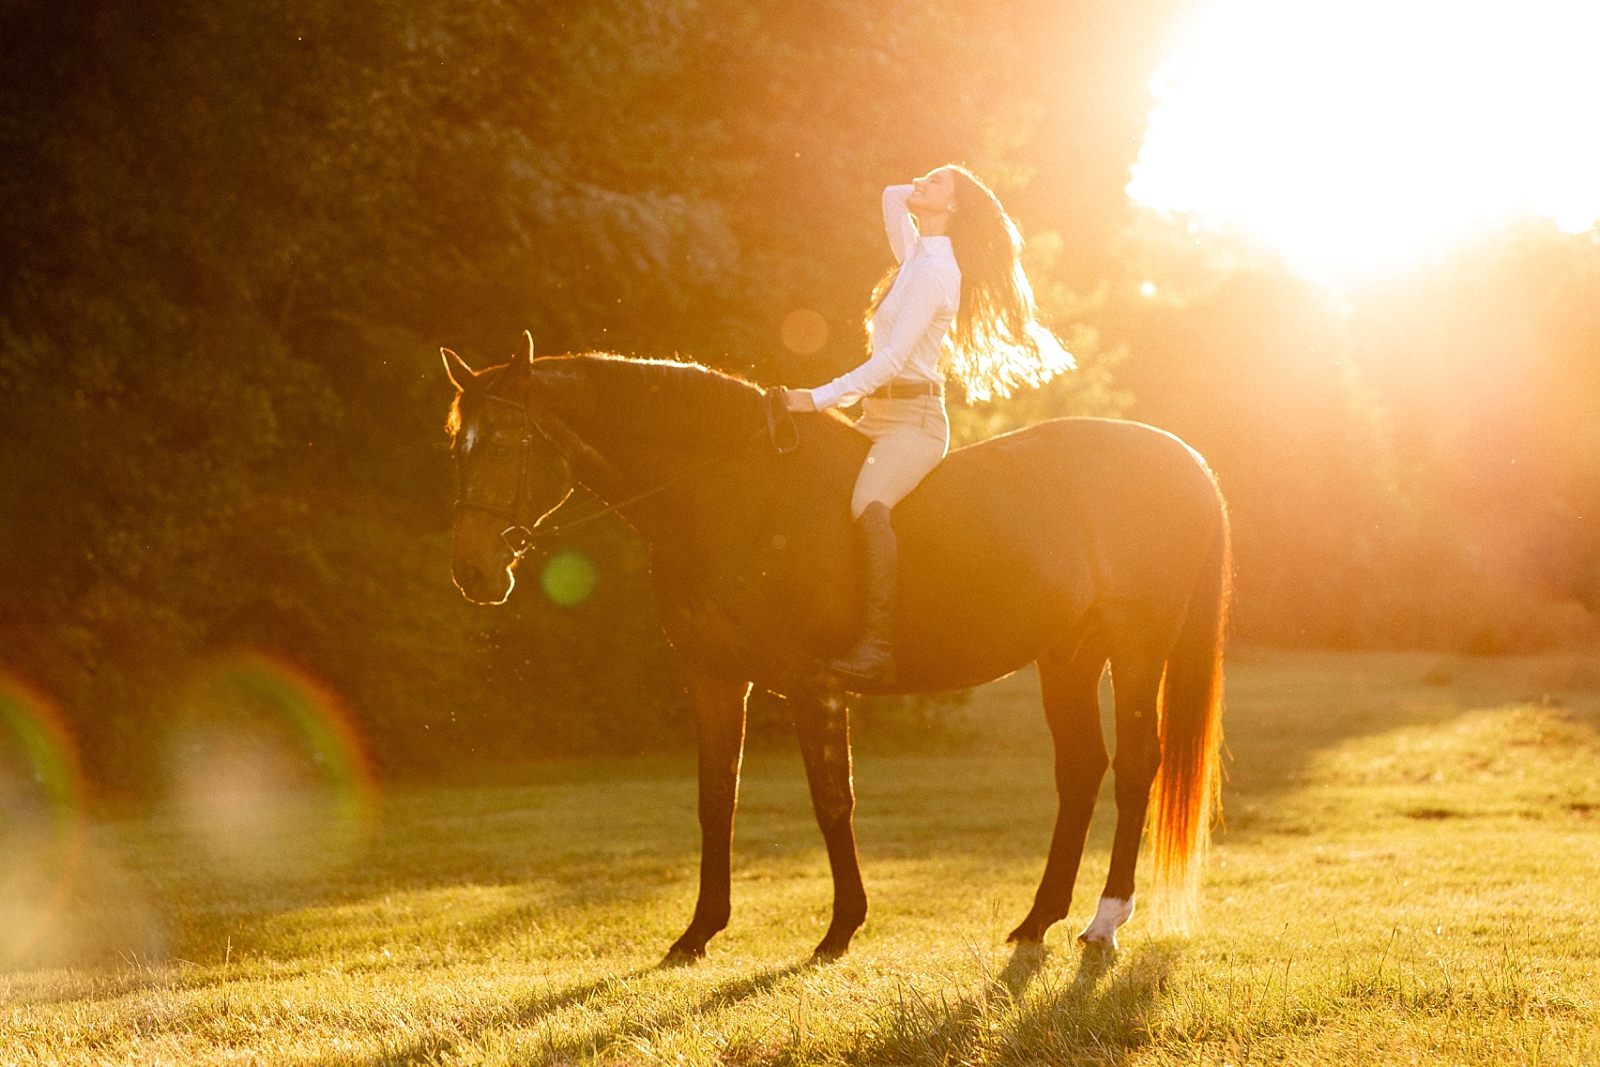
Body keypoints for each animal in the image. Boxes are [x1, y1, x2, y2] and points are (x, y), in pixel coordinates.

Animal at [444, 337, 1228, 966]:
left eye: (507, 441)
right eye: (459, 446)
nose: (474, 572)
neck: (731, 493)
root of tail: (1183, 454)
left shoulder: (810, 683)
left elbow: (832, 801)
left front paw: (840, 929)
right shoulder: (714, 679)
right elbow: (715, 802)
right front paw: (697, 934)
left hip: (1136, 648)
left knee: (1135, 767)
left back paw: (1105, 922)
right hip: (1066, 657)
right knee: (1081, 770)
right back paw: (1037, 920)